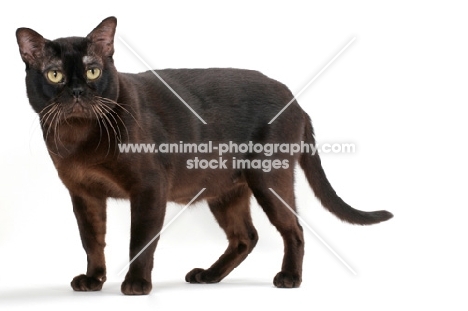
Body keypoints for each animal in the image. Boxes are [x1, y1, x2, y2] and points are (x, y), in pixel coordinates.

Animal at [16, 16, 394, 294]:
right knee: (246, 237)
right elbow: (92, 240)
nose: (78, 91)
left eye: (92, 71)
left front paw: (136, 284)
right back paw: (208, 276)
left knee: (294, 229)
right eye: (55, 75)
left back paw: (289, 279)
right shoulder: (84, 194)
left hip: (268, 179)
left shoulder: (148, 189)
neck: (78, 139)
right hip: (225, 191)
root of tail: (295, 99)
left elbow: (140, 241)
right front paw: (93, 280)